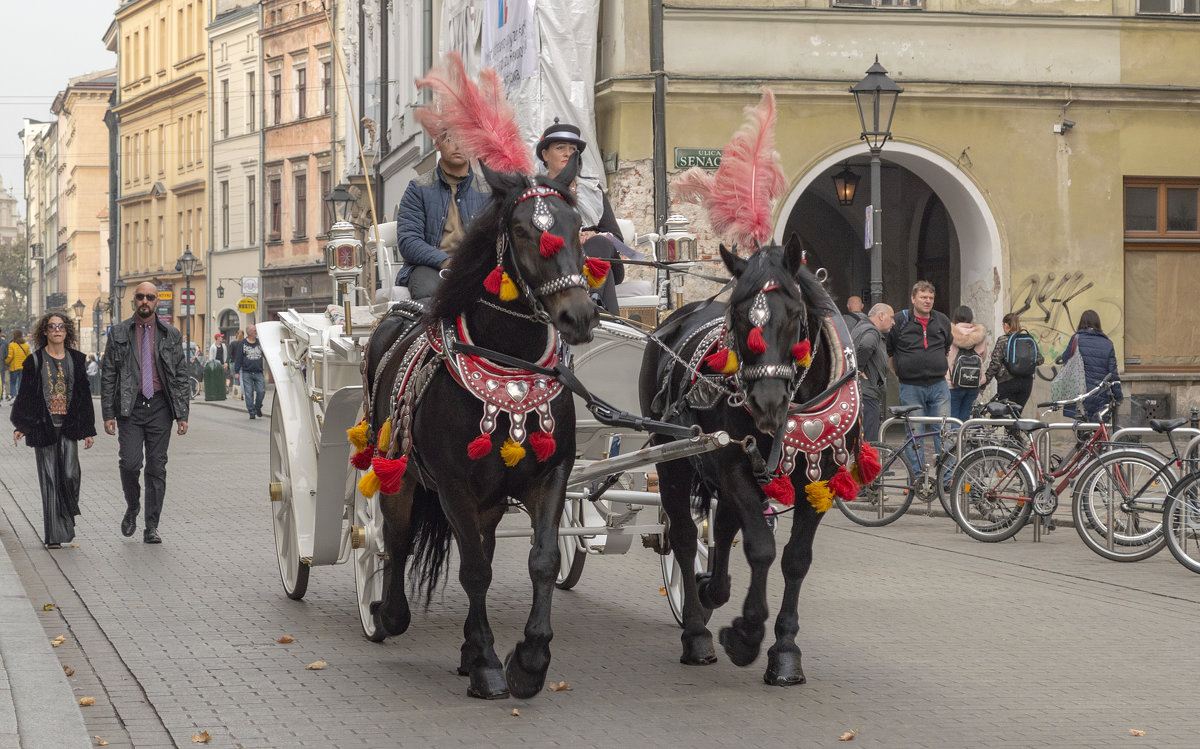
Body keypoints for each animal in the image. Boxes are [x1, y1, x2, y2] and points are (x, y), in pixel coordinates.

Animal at [357, 153, 597, 700]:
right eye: (523, 231)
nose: (579, 315)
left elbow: (542, 560)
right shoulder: (452, 484)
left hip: (489, 497)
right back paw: (388, 612)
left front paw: (528, 662)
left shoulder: (551, 475)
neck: (509, 363)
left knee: (480, 544)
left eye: (577, 227)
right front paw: (489, 662)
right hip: (396, 468)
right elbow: (473, 571)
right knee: (396, 538)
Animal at [638, 87, 873, 686]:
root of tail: (674, 316)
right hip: (674, 458)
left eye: (794, 318)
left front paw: (784, 651)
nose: (766, 404)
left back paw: (710, 592)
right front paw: (744, 633)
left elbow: (793, 559)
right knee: (683, 535)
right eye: (740, 318)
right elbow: (762, 549)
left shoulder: (820, 474)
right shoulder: (729, 462)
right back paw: (699, 631)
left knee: (718, 530)